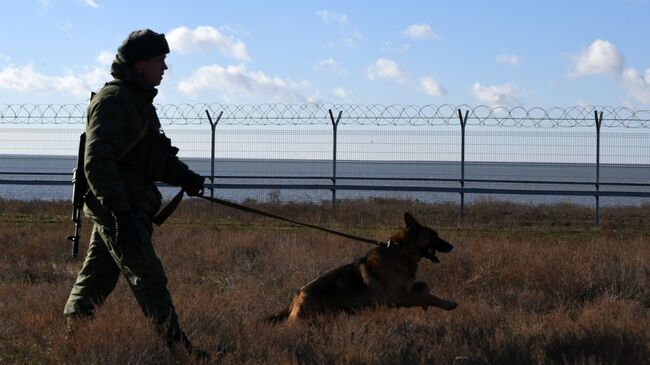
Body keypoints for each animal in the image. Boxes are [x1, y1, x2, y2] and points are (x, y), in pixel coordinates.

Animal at [264, 212, 456, 322]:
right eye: (434, 236)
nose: (451, 246)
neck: (400, 253)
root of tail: (295, 297)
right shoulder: (400, 296)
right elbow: (429, 297)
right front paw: (447, 303)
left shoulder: (407, 289)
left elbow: (424, 286)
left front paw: (425, 302)